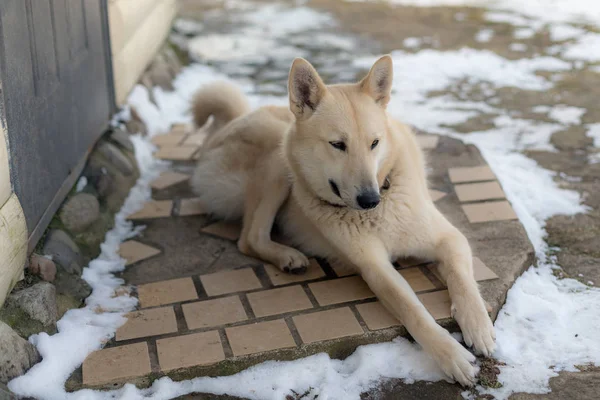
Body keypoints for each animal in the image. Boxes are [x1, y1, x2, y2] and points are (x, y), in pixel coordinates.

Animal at [190, 54, 494, 386]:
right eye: (337, 145)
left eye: (374, 143)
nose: (370, 199)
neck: (381, 210)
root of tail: (230, 124)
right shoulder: (375, 268)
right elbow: (413, 310)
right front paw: (451, 355)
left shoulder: (449, 239)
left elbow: (463, 281)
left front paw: (478, 325)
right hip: (277, 161)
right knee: (249, 238)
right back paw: (287, 256)